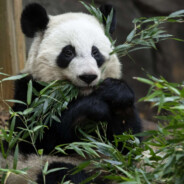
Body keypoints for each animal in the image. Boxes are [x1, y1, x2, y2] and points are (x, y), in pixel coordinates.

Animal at [1, 1, 141, 184]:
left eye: (95, 52)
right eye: (68, 52)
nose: (88, 76)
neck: (79, 94)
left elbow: (128, 142)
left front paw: (117, 93)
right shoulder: (31, 92)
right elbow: (33, 136)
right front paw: (92, 108)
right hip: (33, 168)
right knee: (61, 173)